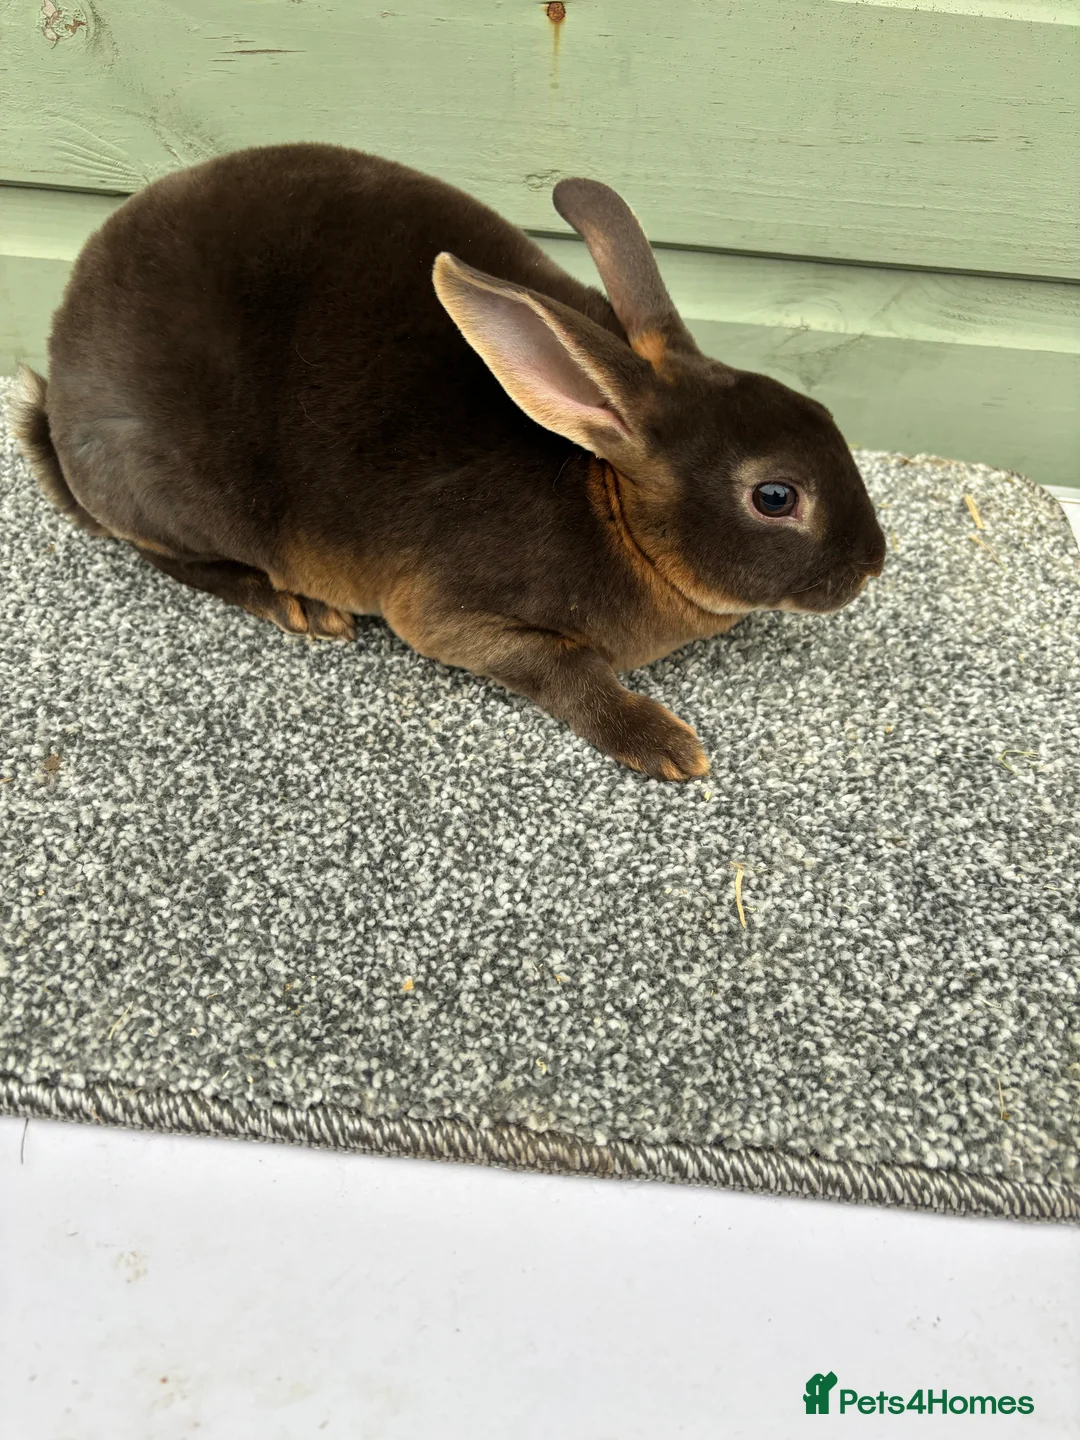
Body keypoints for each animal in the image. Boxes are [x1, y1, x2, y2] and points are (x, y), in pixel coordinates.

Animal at [13, 143, 886, 780]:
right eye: (775, 497)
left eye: (824, 417)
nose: (873, 563)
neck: (611, 500)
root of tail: (60, 402)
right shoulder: (448, 615)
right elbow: (565, 668)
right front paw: (666, 745)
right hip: (174, 495)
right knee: (164, 554)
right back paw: (299, 608)